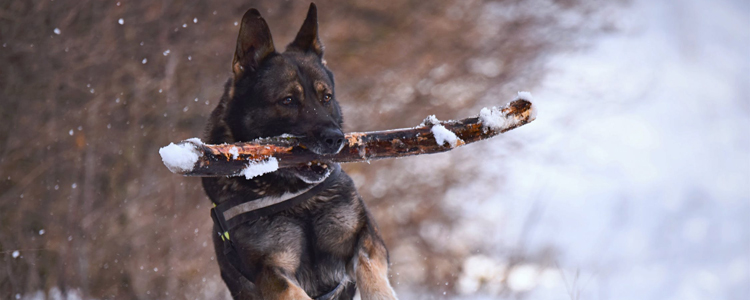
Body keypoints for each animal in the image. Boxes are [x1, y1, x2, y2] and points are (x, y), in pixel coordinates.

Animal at [200, 4, 400, 300]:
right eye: (288, 101)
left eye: (326, 97)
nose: (335, 139)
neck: (297, 197)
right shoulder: (271, 272)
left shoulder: (366, 237)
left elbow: (370, 272)